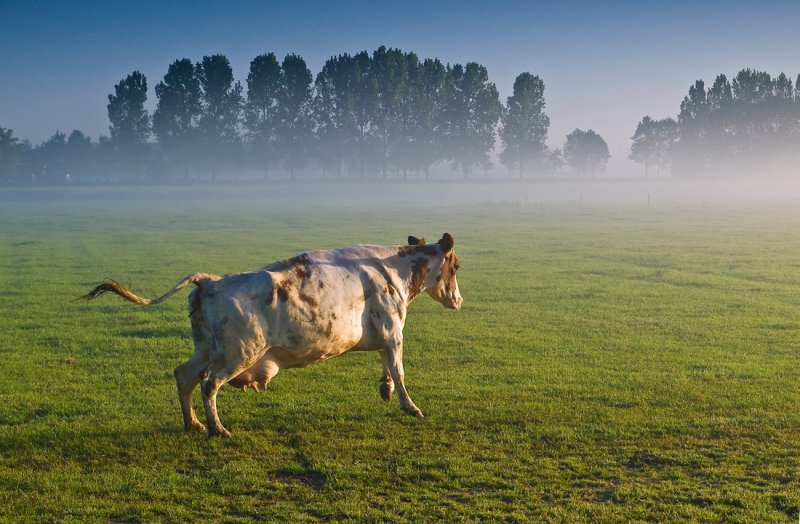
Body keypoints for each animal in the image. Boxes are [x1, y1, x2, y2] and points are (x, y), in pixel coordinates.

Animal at [83, 235, 462, 436]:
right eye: (456, 267)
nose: (458, 300)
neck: (391, 269)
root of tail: (211, 280)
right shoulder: (393, 329)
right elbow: (399, 369)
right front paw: (410, 406)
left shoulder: (385, 333)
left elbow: (387, 365)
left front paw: (385, 390)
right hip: (238, 353)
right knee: (208, 383)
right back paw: (217, 428)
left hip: (207, 348)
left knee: (184, 375)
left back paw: (193, 423)